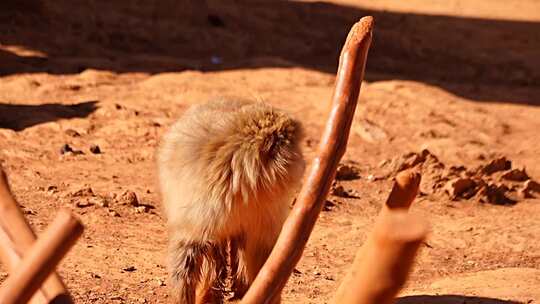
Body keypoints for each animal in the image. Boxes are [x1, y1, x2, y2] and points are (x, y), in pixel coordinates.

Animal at [156, 98, 306, 304]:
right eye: (296, 148)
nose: (304, 162)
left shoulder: (266, 212)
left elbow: (262, 254)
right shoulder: (206, 209)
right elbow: (188, 254)